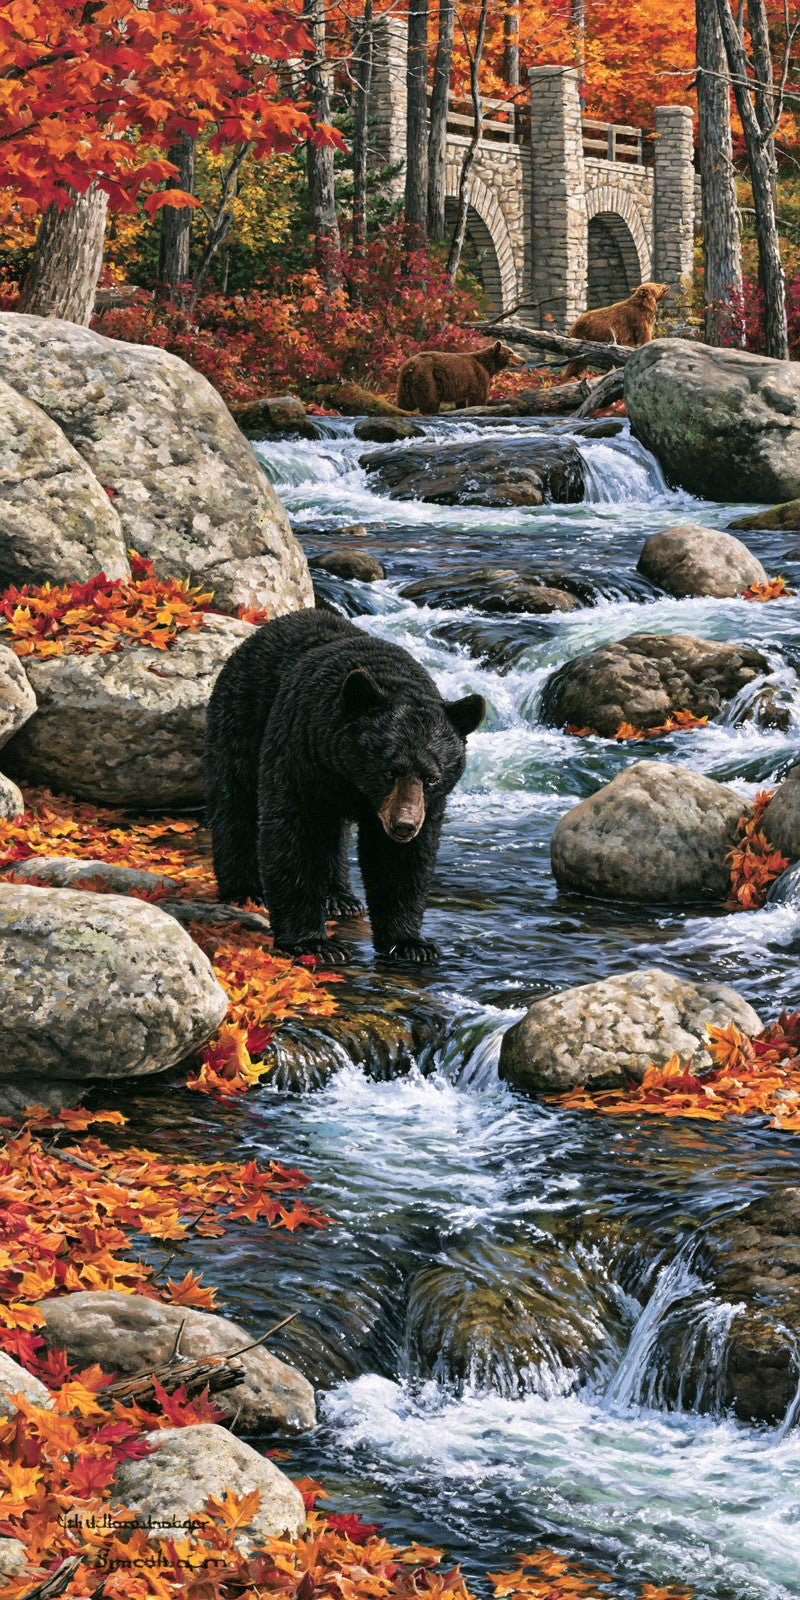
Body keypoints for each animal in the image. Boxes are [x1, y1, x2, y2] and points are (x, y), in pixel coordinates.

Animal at [203, 611, 485, 965]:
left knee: (335, 833)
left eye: (431, 777)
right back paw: (243, 891)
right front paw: (314, 943)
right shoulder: (301, 756)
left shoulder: (425, 805)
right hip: (243, 715)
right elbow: (295, 836)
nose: (404, 825)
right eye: (389, 770)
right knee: (235, 798)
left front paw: (410, 943)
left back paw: (341, 898)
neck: (351, 778)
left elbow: (400, 861)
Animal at [396, 340, 525, 414]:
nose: (523, 360)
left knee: (404, 403)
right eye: (510, 353)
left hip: (405, 384)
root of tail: (410, 366)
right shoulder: (479, 375)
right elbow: (479, 397)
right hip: (427, 378)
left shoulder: (463, 385)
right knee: (429, 402)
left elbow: (461, 402)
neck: (488, 365)